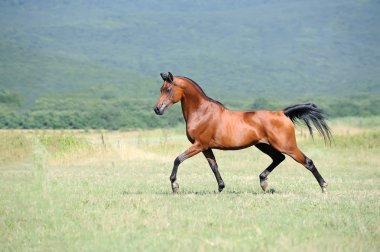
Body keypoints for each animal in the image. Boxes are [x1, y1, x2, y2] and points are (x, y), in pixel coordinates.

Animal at [153, 72, 332, 194]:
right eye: (160, 89)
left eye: (168, 89)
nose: (157, 109)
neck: (201, 112)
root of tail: (282, 113)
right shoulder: (206, 147)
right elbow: (214, 166)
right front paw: (221, 187)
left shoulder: (199, 145)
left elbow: (178, 159)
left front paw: (174, 185)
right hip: (264, 145)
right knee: (279, 158)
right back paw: (263, 181)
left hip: (286, 146)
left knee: (307, 162)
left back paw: (324, 187)